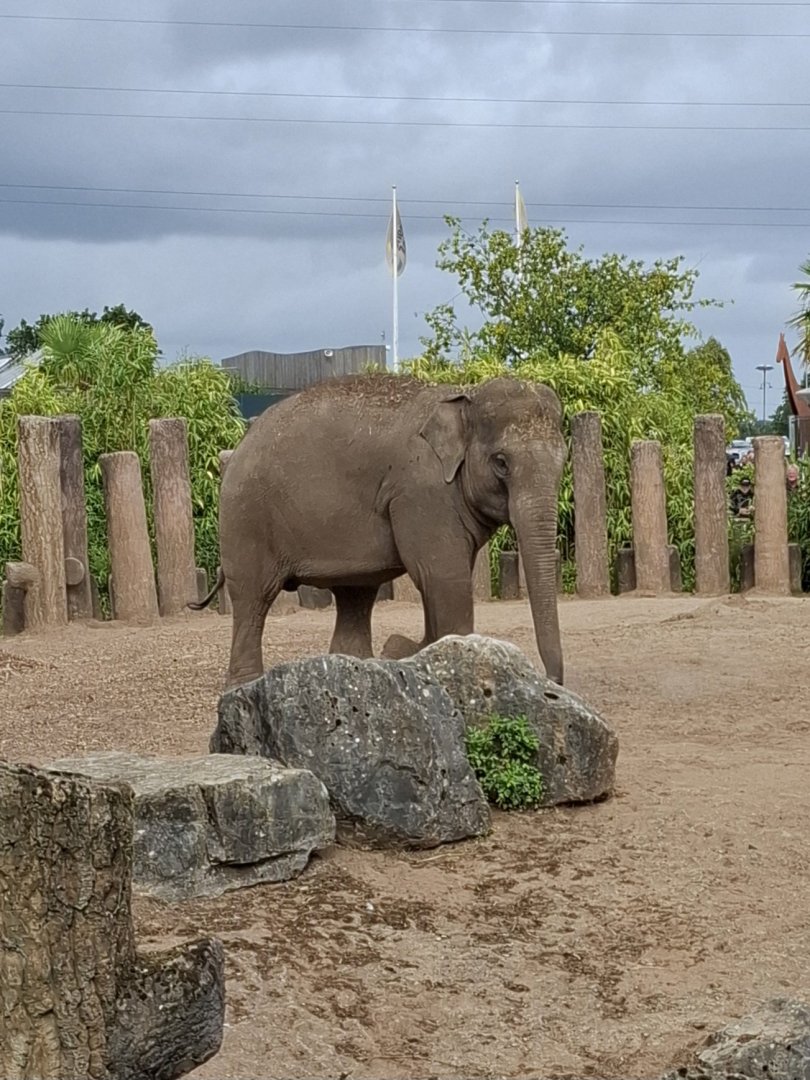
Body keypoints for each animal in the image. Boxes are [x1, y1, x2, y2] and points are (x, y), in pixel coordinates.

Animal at [192, 373, 567, 691]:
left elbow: (438, 581)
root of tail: (236, 448)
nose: (551, 681)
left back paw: (355, 668)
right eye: (501, 462)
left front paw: (409, 650)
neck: (464, 393)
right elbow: (444, 577)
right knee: (253, 598)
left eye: (563, 461)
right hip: (246, 518)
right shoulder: (421, 492)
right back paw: (243, 686)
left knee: (355, 595)